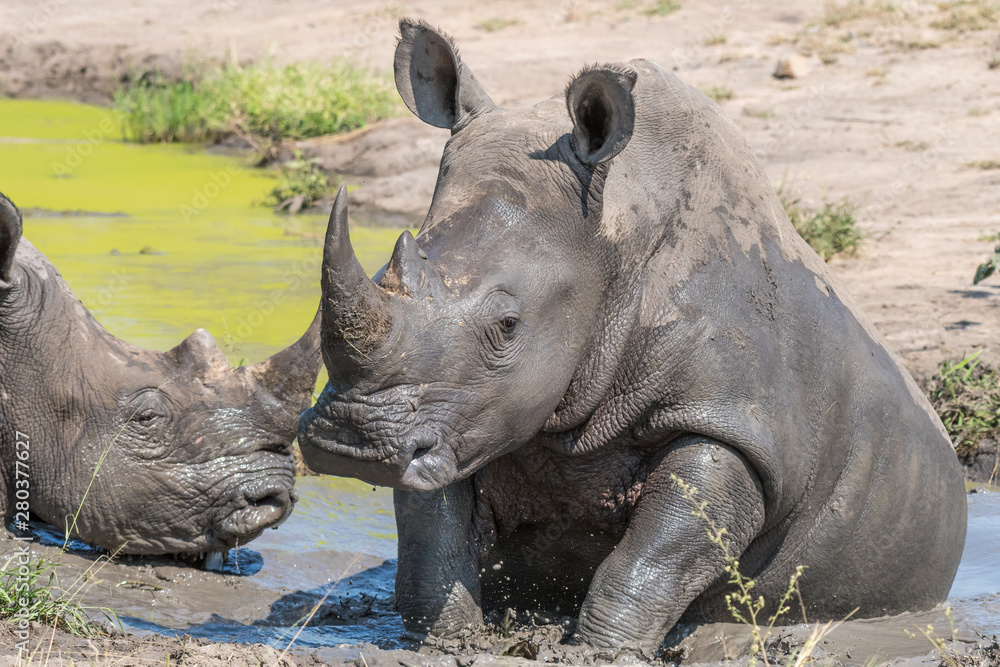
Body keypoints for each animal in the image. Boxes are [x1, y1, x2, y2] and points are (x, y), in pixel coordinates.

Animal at [298, 20, 967, 651]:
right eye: (385, 275)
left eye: (507, 326)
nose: (350, 440)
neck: (613, 238)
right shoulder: (456, 411)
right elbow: (431, 539)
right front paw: (441, 642)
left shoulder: (729, 418)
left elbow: (660, 552)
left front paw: (599, 650)